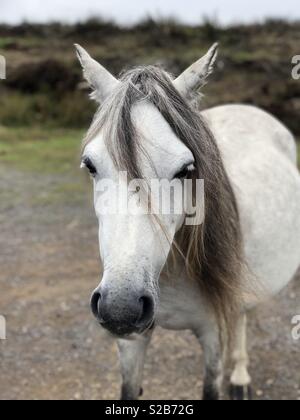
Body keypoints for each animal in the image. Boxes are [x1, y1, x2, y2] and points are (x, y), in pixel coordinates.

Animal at [75, 43, 300, 400]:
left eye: (186, 169)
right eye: (91, 165)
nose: (121, 307)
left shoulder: (212, 334)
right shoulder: (131, 342)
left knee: (242, 318)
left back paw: (240, 378)